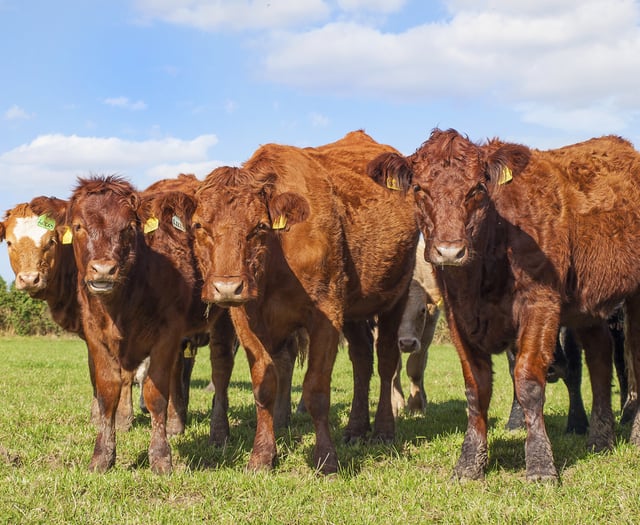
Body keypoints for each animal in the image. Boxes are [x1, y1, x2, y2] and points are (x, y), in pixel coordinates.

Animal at [192, 130, 418, 470]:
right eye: (198, 226)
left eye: (259, 226)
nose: (227, 288)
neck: (276, 260)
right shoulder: (246, 319)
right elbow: (264, 385)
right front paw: (262, 456)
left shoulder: (326, 313)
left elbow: (316, 390)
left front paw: (327, 459)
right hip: (354, 308)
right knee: (362, 359)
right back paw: (355, 428)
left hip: (395, 296)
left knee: (386, 359)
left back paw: (382, 431)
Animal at [368, 129, 640, 482]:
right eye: (419, 189)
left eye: (478, 189)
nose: (449, 251)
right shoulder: (457, 315)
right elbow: (476, 387)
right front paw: (469, 463)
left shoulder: (540, 304)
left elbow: (528, 381)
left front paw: (540, 465)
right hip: (587, 309)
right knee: (599, 357)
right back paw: (600, 438)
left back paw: (634, 434)